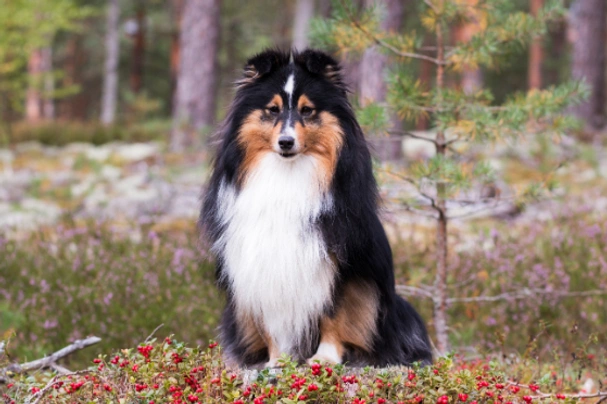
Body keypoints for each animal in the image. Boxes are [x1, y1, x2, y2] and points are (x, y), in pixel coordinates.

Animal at [200, 49, 432, 368]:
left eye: (307, 110)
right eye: (272, 110)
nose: (286, 142)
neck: (288, 175)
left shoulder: (344, 261)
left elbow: (335, 312)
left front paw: (325, 357)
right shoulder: (258, 263)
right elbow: (272, 317)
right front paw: (277, 361)